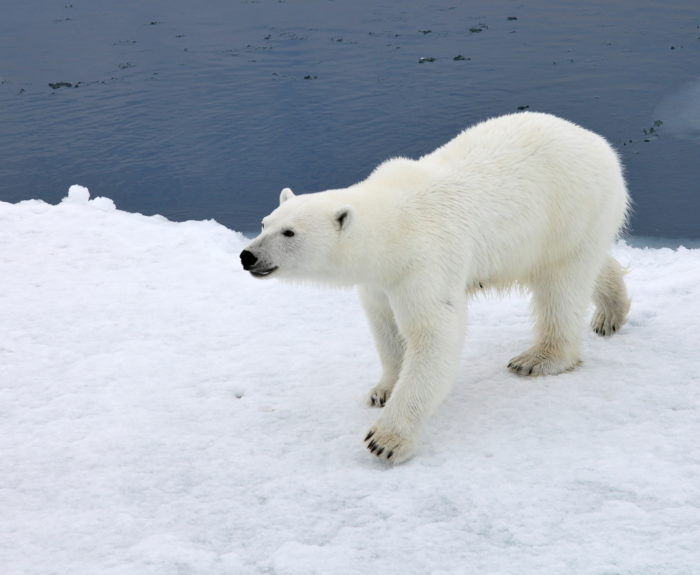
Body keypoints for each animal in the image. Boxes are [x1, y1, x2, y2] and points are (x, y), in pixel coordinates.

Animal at [239, 111, 628, 464]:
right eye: (264, 222)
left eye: (290, 232)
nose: (248, 255)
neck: (394, 226)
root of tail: (598, 142)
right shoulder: (382, 278)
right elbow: (385, 325)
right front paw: (382, 390)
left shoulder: (425, 260)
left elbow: (434, 333)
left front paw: (386, 440)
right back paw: (611, 311)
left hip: (571, 208)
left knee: (562, 284)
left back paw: (538, 358)